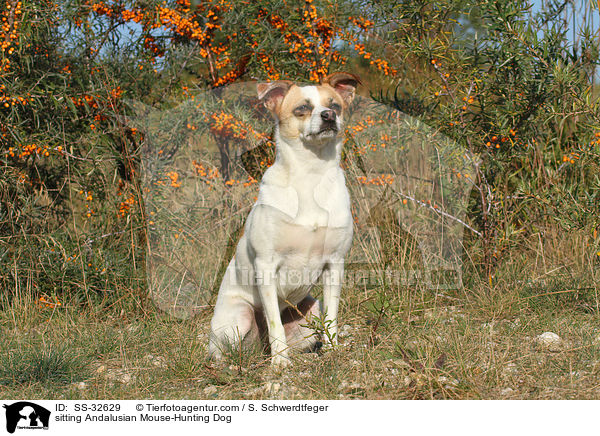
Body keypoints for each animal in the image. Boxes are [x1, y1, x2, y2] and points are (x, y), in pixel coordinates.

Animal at [209, 73, 358, 366]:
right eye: (302, 108)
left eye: (334, 105)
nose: (328, 116)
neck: (311, 176)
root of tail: (258, 348)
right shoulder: (266, 266)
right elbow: (274, 322)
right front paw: (280, 363)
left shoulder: (334, 264)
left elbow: (332, 316)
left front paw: (333, 350)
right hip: (238, 319)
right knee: (224, 350)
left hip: (310, 311)